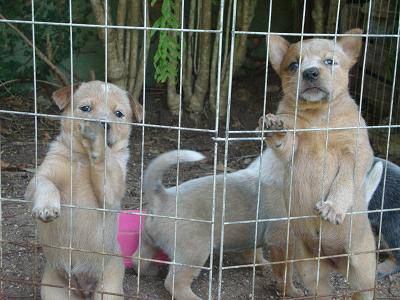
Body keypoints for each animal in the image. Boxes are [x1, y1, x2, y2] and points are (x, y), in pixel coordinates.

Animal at [24, 81, 141, 298]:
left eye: (118, 113)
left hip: (108, 287)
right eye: (86, 108)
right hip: (53, 288)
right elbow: (47, 185)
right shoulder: (42, 176)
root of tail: (82, 288)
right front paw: (46, 209)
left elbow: (106, 167)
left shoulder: (110, 194)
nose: (103, 124)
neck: (84, 158)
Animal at [260, 29, 376, 298]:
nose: (310, 72)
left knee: (364, 290)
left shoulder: (357, 152)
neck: (318, 118)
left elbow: (344, 180)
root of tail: (333, 261)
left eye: (329, 61)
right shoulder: (293, 148)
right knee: (321, 289)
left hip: (363, 272)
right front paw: (274, 125)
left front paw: (333, 208)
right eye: (294, 65)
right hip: (310, 270)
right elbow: (284, 138)